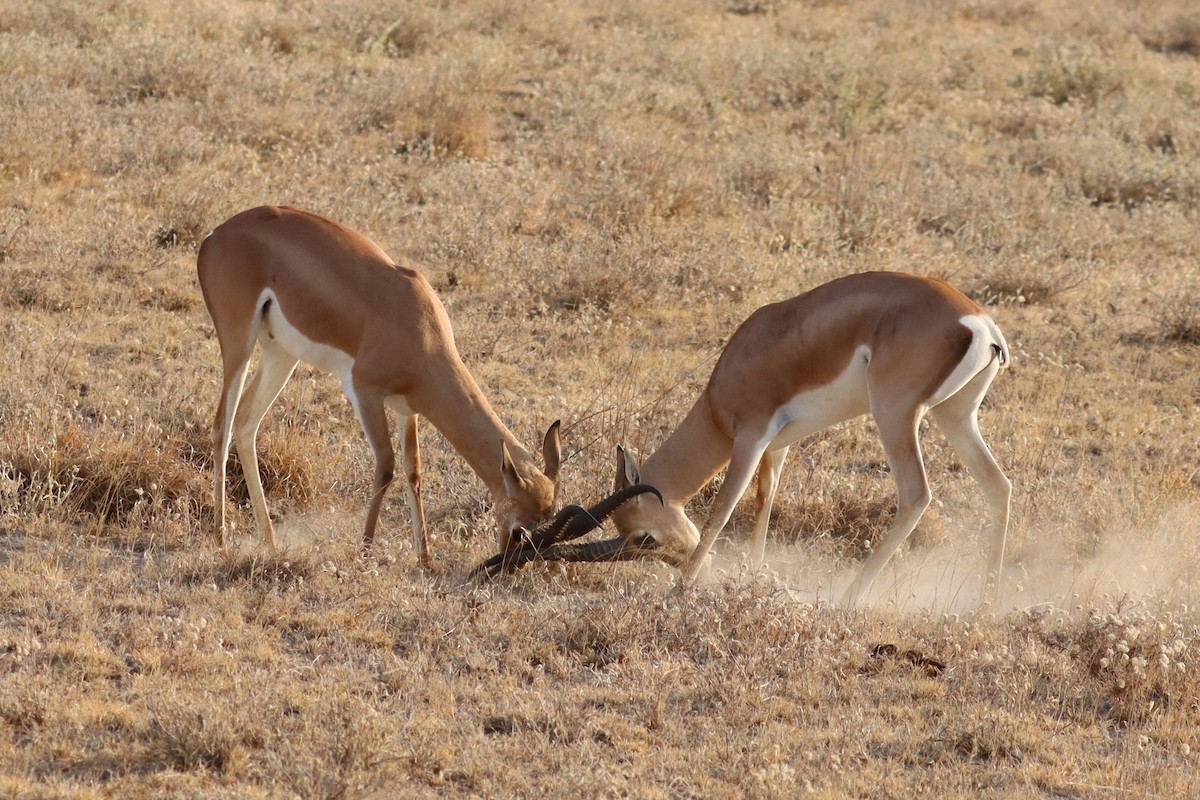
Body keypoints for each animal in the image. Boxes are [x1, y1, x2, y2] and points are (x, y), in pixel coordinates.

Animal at [197, 205, 561, 568]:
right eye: (520, 531)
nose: (508, 562)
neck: (420, 329)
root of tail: (216, 235)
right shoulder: (364, 392)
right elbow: (386, 465)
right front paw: (365, 552)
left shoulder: (406, 407)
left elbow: (413, 470)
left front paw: (425, 559)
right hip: (239, 345)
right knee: (221, 427)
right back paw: (221, 540)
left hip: (280, 354)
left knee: (246, 423)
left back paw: (270, 543)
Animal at [514, 271, 1011, 605]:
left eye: (644, 538)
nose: (688, 564)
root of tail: (980, 324)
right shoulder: (779, 445)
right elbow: (764, 502)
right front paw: (751, 577)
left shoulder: (750, 438)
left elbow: (721, 509)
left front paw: (681, 590)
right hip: (955, 416)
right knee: (999, 486)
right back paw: (985, 602)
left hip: (896, 414)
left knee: (916, 495)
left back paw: (849, 600)